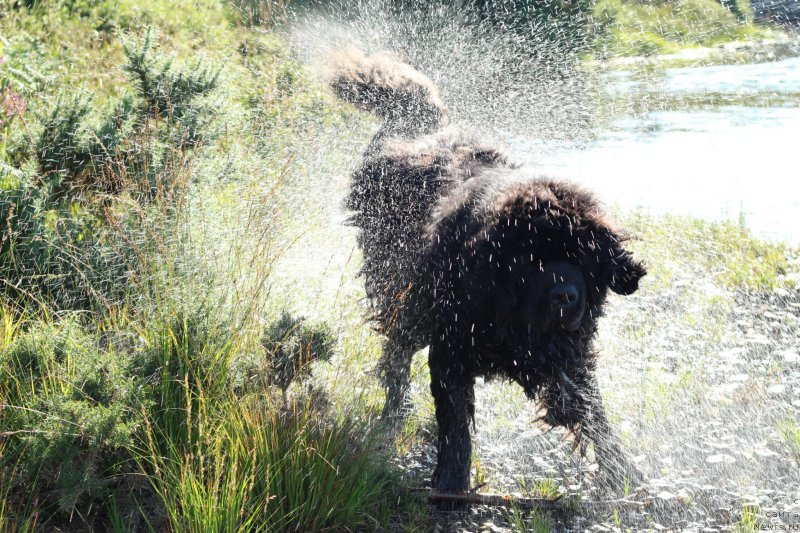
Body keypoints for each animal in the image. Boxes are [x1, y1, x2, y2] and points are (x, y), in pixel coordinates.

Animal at [328, 50, 648, 490]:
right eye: (529, 260)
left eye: (583, 258)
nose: (564, 296)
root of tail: (417, 124)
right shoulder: (450, 351)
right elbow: (456, 428)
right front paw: (451, 485)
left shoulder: (570, 352)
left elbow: (593, 413)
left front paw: (625, 474)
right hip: (402, 298)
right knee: (395, 355)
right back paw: (394, 415)